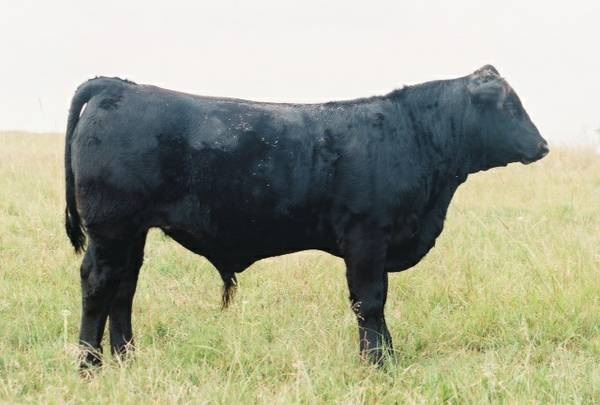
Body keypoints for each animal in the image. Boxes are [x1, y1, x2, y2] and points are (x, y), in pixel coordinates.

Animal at [64, 64, 548, 364]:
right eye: (509, 106)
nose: (543, 145)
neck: (412, 135)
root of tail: (119, 85)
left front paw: (386, 357)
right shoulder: (366, 238)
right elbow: (369, 302)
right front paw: (377, 363)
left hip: (132, 233)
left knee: (124, 288)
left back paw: (127, 358)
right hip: (111, 229)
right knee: (99, 285)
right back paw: (89, 365)